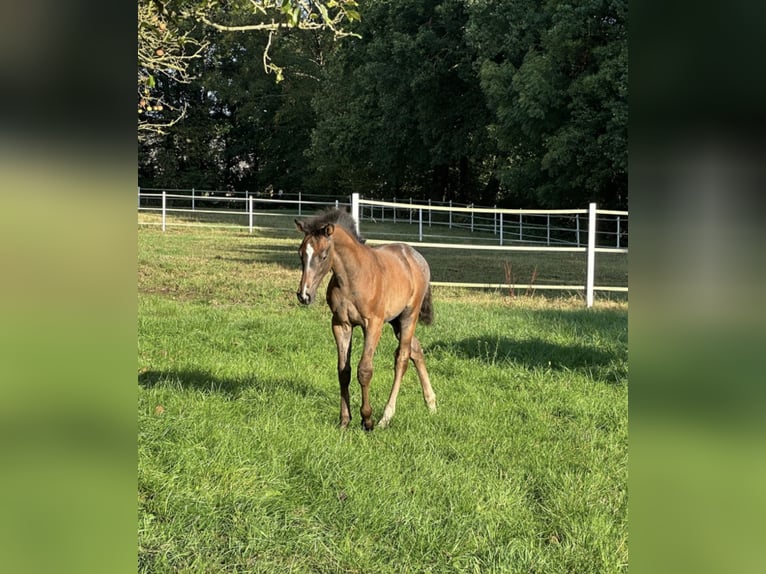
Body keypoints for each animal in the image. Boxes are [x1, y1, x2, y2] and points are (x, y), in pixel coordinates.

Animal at [295, 208, 437, 430]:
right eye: (300, 253)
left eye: (323, 255)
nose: (304, 295)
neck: (352, 278)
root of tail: (416, 257)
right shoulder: (341, 324)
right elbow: (344, 371)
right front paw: (344, 420)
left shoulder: (373, 324)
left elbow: (365, 370)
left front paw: (367, 419)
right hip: (395, 320)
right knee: (416, 349)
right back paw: (431, 404)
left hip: (408, 316)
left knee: (402, 358)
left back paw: (386, 417)